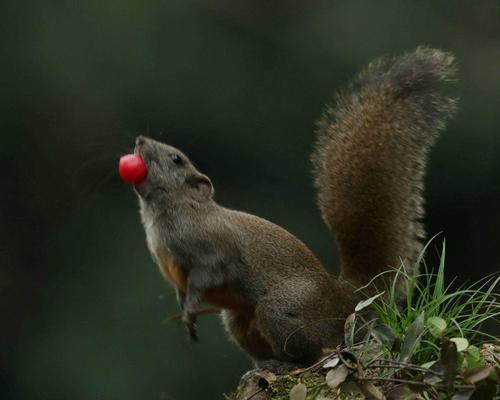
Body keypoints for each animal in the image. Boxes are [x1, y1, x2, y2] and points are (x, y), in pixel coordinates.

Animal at [130, 47, 458, 372]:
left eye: (176, 159)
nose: (139, 140)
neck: (170, 213)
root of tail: (343, 302)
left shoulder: (212, 250)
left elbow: (207, 276)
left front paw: (190, 310)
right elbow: (181, 290)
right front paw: (186, 314)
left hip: (279, 310)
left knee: (317, 351)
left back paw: (286, 365)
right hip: (237, 320)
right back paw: (264, 365)